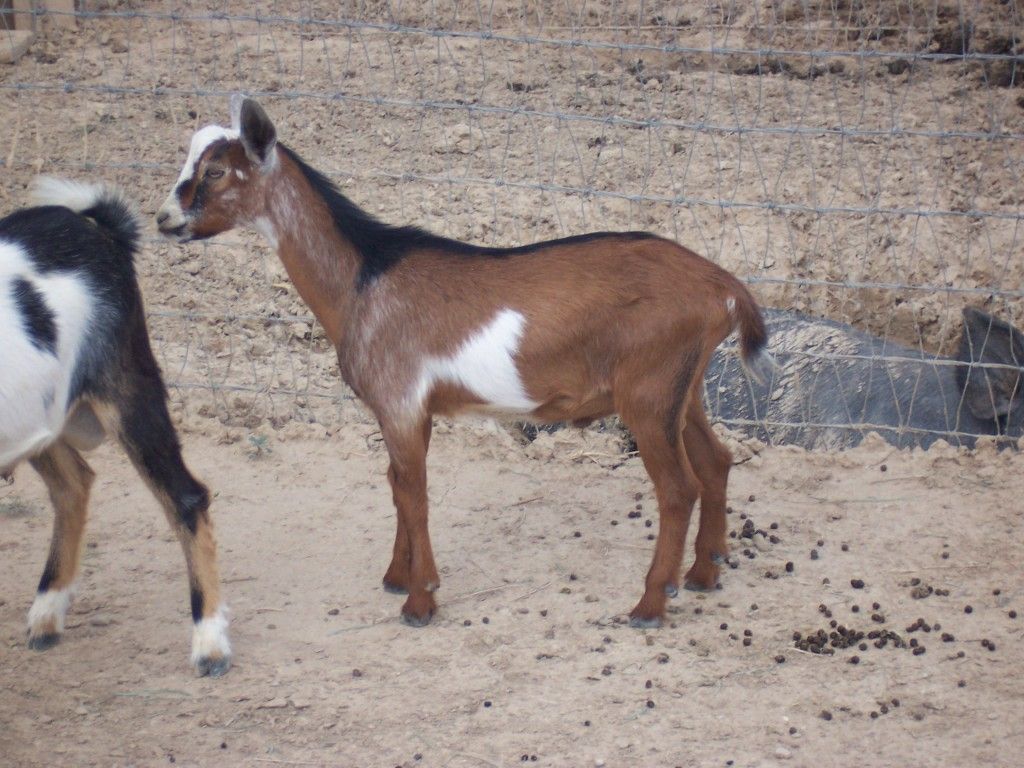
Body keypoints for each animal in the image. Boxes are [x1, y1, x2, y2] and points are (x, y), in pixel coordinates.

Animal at [1, 179, 230, 676]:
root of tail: (99, 228)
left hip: (127, 390)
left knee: (186, 497)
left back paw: (210, 642)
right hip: (42, 416)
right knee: (74, 482)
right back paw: (48, 611)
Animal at [157, 96, 771, 628]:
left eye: (215, 171)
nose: (164, 219)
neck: (363, 280)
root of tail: (724, 287)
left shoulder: (400, 401)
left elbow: (414, 492)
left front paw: (420, 601)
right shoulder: (410, 410)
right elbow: (396, 483)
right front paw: (397, 577)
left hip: (647, 394)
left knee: (678, 489)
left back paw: (649, 603)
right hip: (682, 389)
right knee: (716, 461)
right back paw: (703, 574)